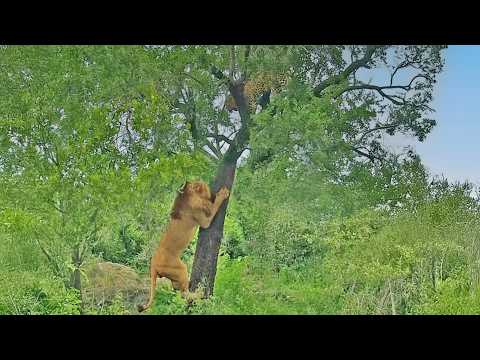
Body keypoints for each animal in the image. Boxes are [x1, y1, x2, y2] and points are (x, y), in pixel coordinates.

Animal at [137, 180, 231, 312]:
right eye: (203, 186)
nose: (212, 193)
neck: (187, 195)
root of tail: (153, 265)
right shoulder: (205, 221)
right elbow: (215, 205)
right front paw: (222, 193)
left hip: (175, 276)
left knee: (178, 289)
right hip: (181, 269)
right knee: (184, 293)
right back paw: (198, 293)